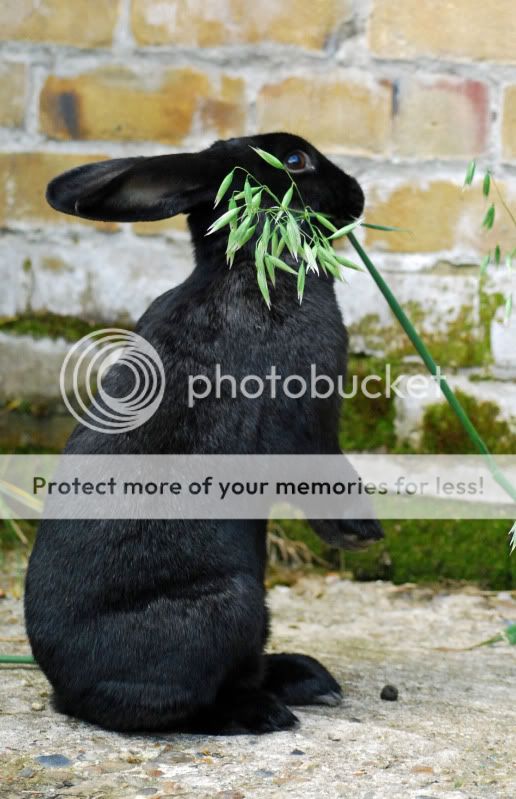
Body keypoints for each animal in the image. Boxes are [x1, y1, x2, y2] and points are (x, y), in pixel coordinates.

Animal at [24, 134, 380, 736]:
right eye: (295, 161)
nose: (356, 195)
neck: (254, 262)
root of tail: (64, 691)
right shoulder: (306, 421)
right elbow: (324, 477)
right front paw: (361, 533)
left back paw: (303, 678)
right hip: (231, 605)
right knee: (173, 707)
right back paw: (264, 711)